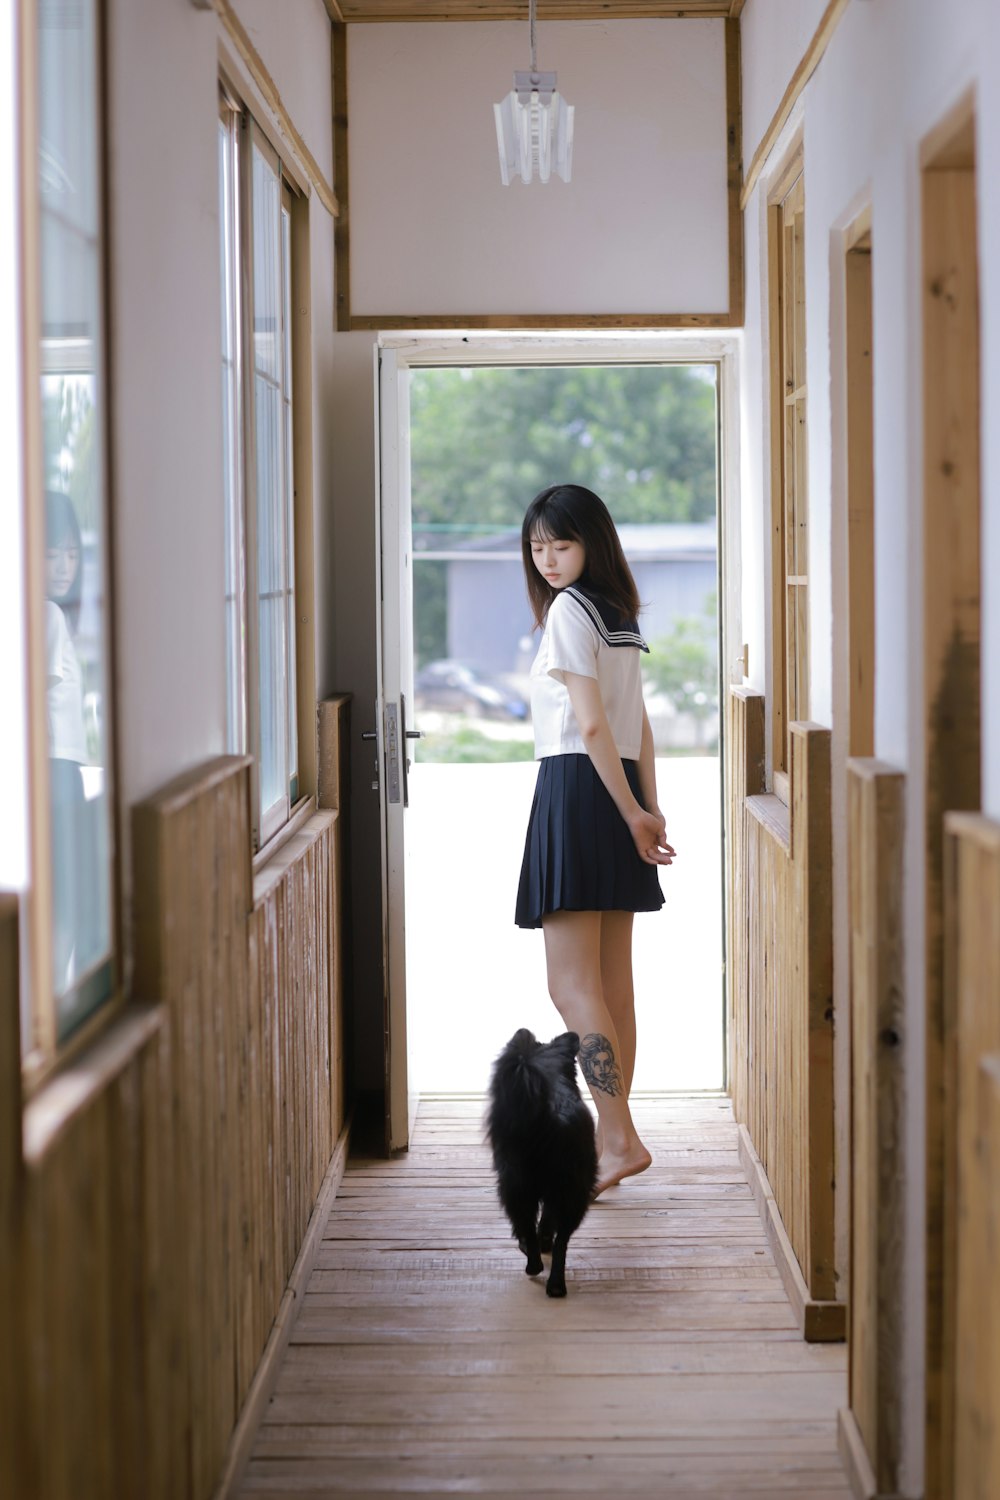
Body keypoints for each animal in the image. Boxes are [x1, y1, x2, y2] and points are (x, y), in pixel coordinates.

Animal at [485, 1026, 599, 1296]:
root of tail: (549, 1120)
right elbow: (547, 1219)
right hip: (568, 1191)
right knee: (560, 1239)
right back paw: (554, 1283)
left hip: (516, 1187)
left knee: (530, 1228)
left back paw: (534, 1263)